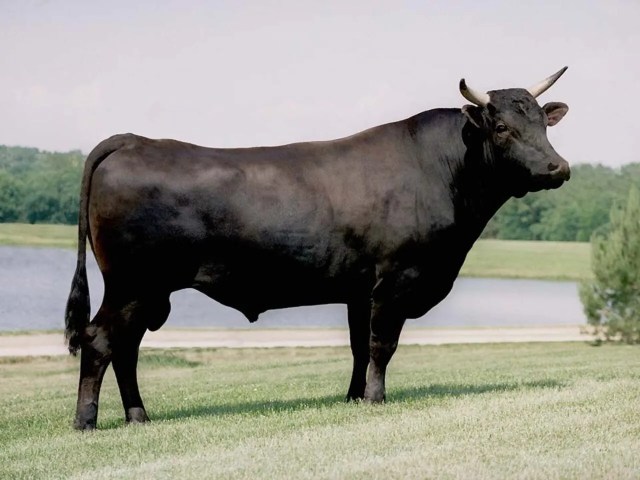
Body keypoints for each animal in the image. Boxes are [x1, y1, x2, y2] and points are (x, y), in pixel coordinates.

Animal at [65, 67, 571, 430]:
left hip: (146, 292)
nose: (557, 167)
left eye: (543, 123)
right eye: (501, 127)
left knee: (125, 348)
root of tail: (134, 140)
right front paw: (375, 399)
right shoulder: (396, 279)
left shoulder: (360, 289)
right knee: (100, 341)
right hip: (132, 285)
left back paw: (138, 416)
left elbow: (359, 347)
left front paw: (353, 397)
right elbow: (382, 344)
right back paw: (87, 421)